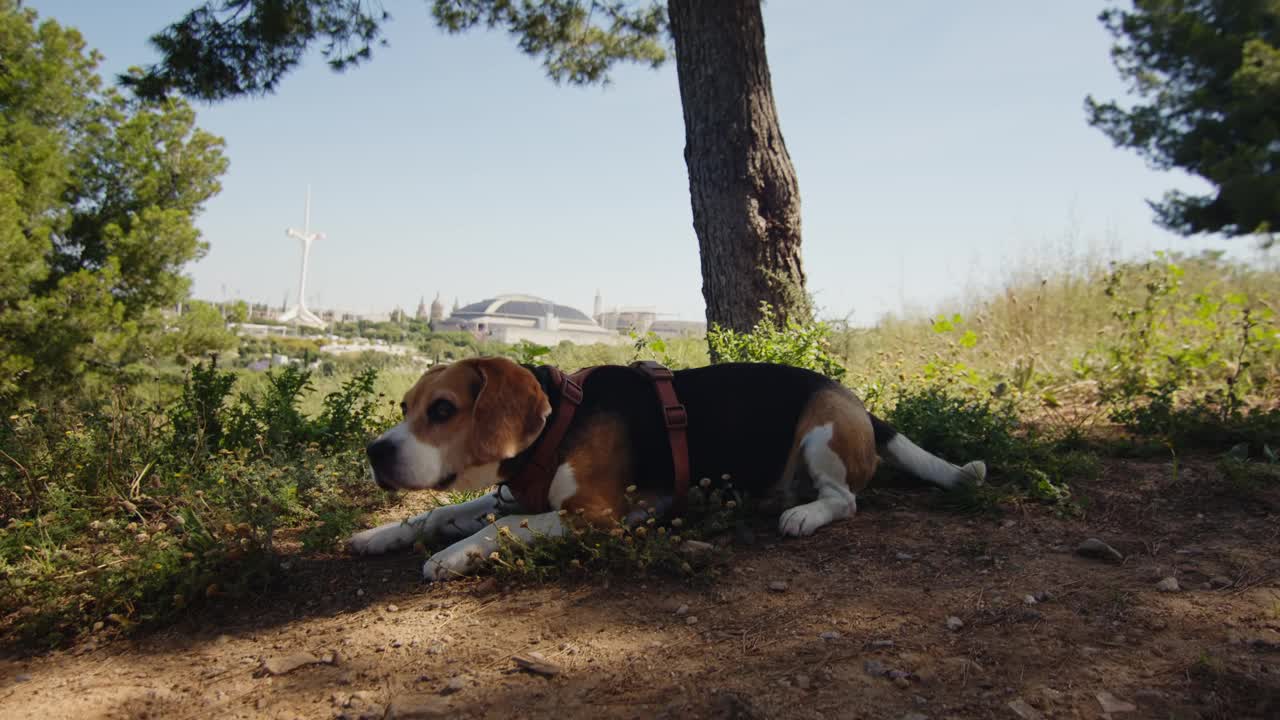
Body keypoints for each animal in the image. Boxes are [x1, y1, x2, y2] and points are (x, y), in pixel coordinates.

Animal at [345, 356, 983, 579]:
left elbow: (495, 526)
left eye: (443, 410)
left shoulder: (596, 514)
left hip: (822, 433)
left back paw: (803, 514)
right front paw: (380, 534)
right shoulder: (520, 498)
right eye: (403, 408)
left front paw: (452, 556)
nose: (376, 452)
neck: (560, 423)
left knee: (845, 500)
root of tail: (860, 406)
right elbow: (439, 514)